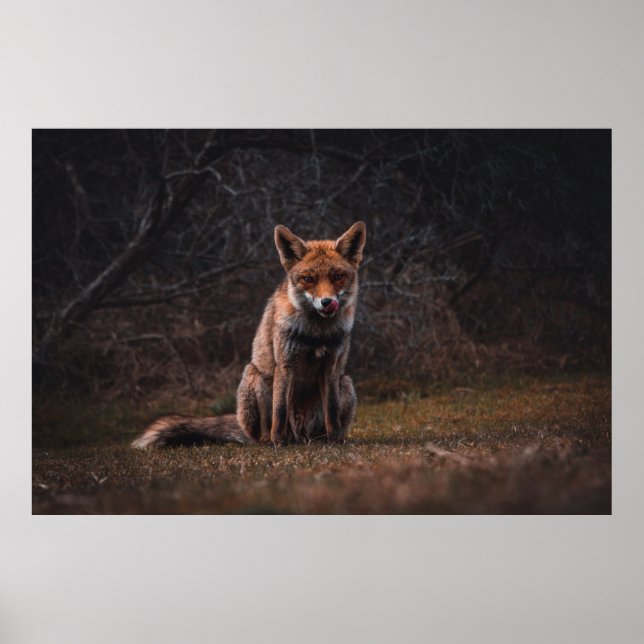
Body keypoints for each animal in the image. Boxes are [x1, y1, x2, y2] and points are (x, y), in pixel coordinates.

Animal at [132, 221, 367, 448]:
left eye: (337, 277)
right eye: (308, 279)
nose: (327, 302)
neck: (316, 333)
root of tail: (300, 436)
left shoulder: (331, 365)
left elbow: (331, 411)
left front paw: (336, 440)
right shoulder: (286, 363)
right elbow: (280, 410)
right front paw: (278, 442)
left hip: (345, 383)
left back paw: (321, 439)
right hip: (257, 378)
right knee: (265, 428)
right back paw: (270, 440)